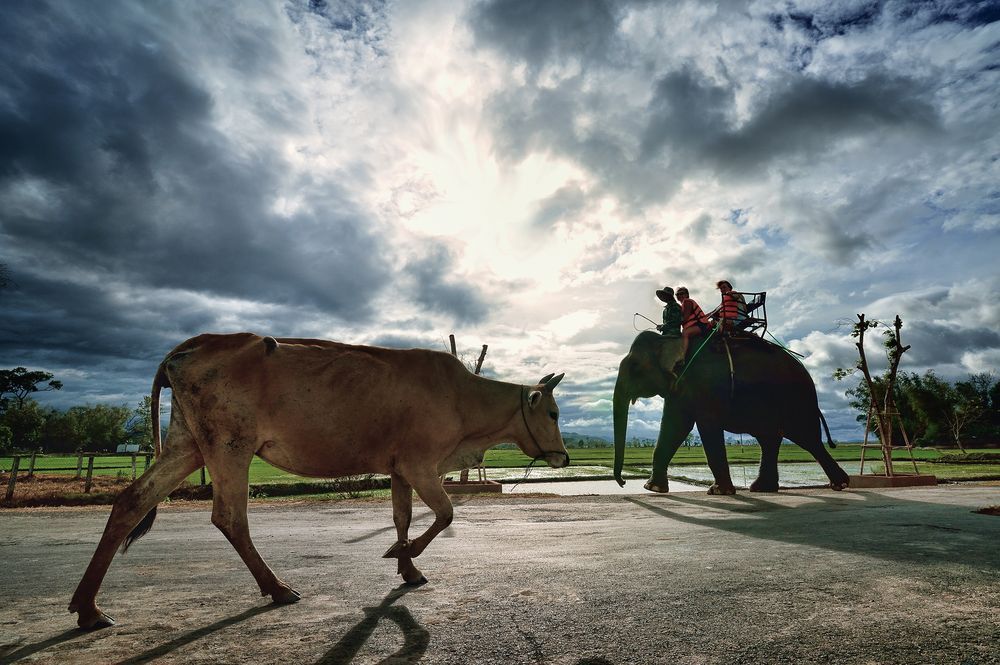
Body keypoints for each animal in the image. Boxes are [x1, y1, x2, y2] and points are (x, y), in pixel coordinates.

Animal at [70, 332, 572, 628]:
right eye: (552, 412)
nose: (564, 456)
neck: (464, 399)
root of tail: (190, 346)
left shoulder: (399, 467)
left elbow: (402, 516)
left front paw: (406, 564)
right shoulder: (420, 464)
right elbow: (445, 514)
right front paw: (404, 555)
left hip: (188, 444)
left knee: (131, 501)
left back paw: (89, 608)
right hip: (230, 445)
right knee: (230, 517)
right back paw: (277, 589)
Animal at [612, 330, 848, 492]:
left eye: (634, 366)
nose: (623, 482)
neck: (671, 338)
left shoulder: (705, 386)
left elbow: (704, 427)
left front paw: (719, 491)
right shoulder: (679, 388)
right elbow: (674, 426)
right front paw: (653, 488)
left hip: (797, 400)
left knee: (807, 439)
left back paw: (841, 484)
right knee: (770, 439)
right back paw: (762, 488)